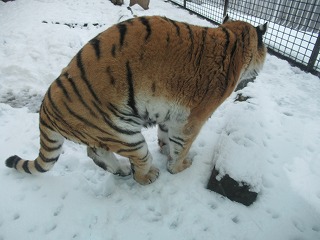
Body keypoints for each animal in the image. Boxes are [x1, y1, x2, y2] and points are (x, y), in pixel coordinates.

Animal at [4, 14, 268, 185]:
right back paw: (147, 175)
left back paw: (120, 170)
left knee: (94, 152)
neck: (235, 39)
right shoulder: (192, 119)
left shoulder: (171, 112)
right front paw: (178, 167)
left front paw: (164, 149)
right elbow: (181, 147)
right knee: (136, 162)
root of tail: (45, 108)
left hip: (103, 133)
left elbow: (165, 135)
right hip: (124, 134)